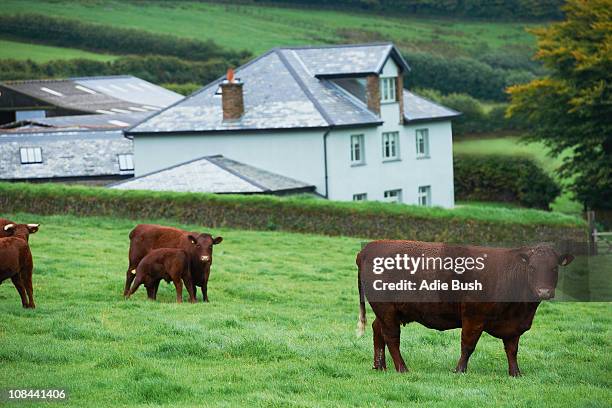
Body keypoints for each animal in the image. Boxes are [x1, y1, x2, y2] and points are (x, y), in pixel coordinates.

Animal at [356, 241, 576, 378]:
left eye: (554, 268)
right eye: (532, 268)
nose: (544, 291)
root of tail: (370, 247)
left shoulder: (513, 325)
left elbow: (512, 350)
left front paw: (515, 373)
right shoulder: (473, 316)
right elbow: (468, 345)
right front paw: (459, 370)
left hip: (387, 311)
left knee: (378, 330)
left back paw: (379, 366)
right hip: (386, 309)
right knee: (392, 337)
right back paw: (402, 368)